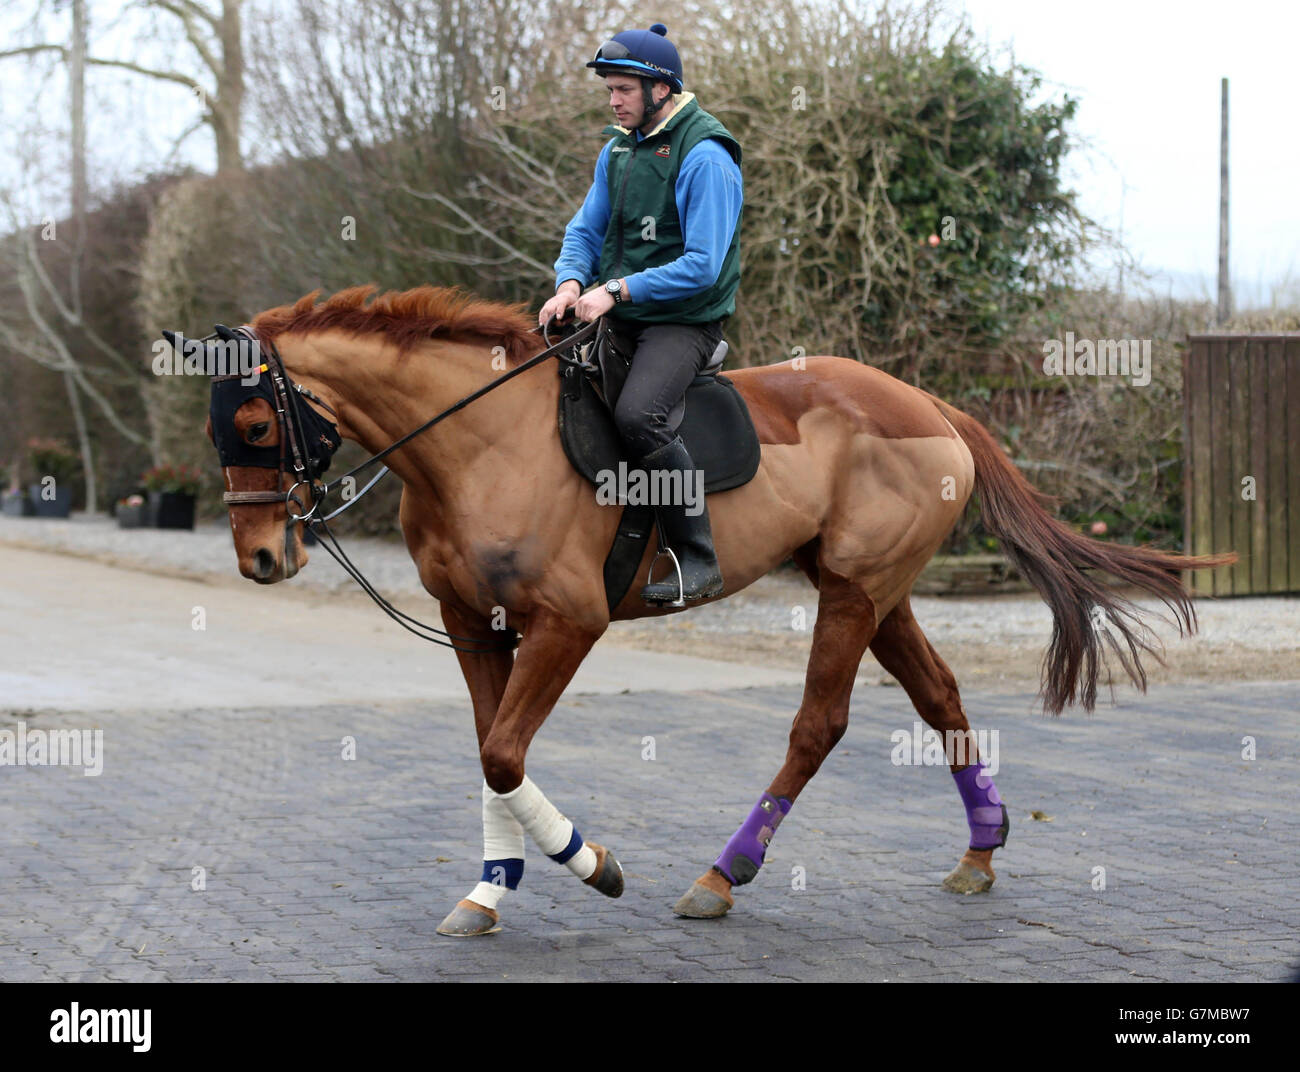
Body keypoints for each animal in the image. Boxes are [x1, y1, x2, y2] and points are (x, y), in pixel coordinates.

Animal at [187, 283, 1232, 936]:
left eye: (255, 422)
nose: (261, 559)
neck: (479, 445)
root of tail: (929, 405)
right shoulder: (472, 625)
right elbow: (491, 753)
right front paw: (489, 892)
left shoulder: (568, 624)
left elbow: (504, 754)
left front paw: (589, 862)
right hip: (879, 592)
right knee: (939, 695)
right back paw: (980, 852)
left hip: (854, 594)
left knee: (818, 725)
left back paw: (722, 876)